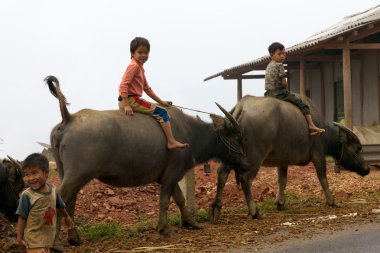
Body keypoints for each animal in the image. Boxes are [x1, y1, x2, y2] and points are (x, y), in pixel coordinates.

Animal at [44, 76, 233, 246]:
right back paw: (54, 243)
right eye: (236, 137)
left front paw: (191, 223)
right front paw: (164, 229)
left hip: (65, 171)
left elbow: (180, 199)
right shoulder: (172, 174)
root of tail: (69, 118)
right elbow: (165, 200)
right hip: (79, 174)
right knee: (61, 198)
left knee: (70, 202)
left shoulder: (169, 176)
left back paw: (73, 239)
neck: (191, 133)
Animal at [209, 95, 370, 221]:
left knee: (222, 173)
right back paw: (255, 212)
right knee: (246, 180)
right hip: (254, 158)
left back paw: (216, 207)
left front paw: (280, 203)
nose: (367, 168)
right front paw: (332, 201)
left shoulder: (282, 160)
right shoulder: (318, 154)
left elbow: (282, 180)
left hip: (233, 155)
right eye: (358, 148)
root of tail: (241, 107)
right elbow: (323, 178)